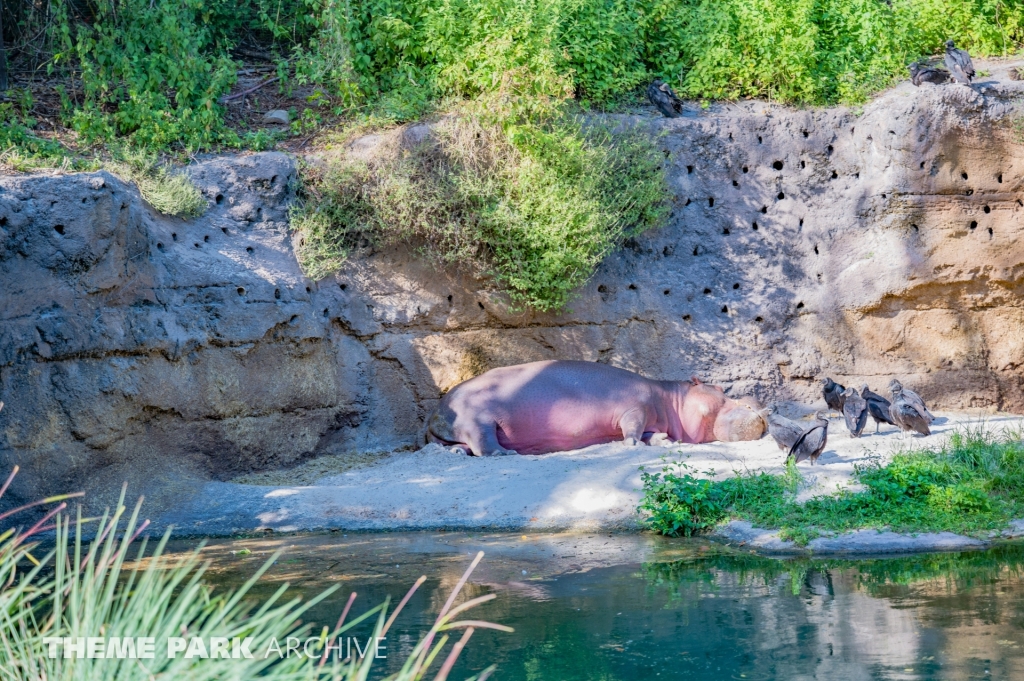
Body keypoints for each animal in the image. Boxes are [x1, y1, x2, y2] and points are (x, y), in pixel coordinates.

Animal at [419, 358, 765, 454]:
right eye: (719, 389)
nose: (761, 408)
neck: (672, 399)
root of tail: (438, 409)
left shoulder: (652, 418)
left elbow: (652, 433)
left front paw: (663, 441)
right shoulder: (634, 409)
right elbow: (633, 429)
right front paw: (633, 445)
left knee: (460, 445)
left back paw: (455, 452)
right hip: (479, 420)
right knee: (484, 445)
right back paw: (507, 455)